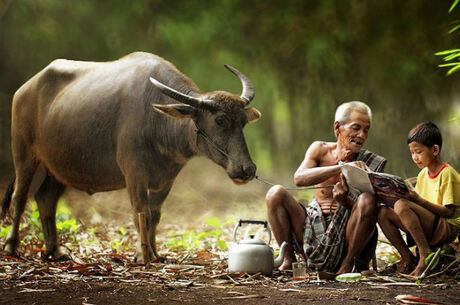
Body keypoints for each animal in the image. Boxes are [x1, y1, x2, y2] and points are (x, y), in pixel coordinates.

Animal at [0, 51, 260, 262]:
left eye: (243, 122)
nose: (247, 169)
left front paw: (154, 253)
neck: (157, 122)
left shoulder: (166, 180)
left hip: (59, 167)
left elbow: (154, 215)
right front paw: (141, 255)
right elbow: (139, 213)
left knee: (46, 199)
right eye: (220, 120)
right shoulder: (134, 175)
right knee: (20, 197)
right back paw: (12, 247)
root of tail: (24, 89)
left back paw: (55, 250)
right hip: (24, 153)